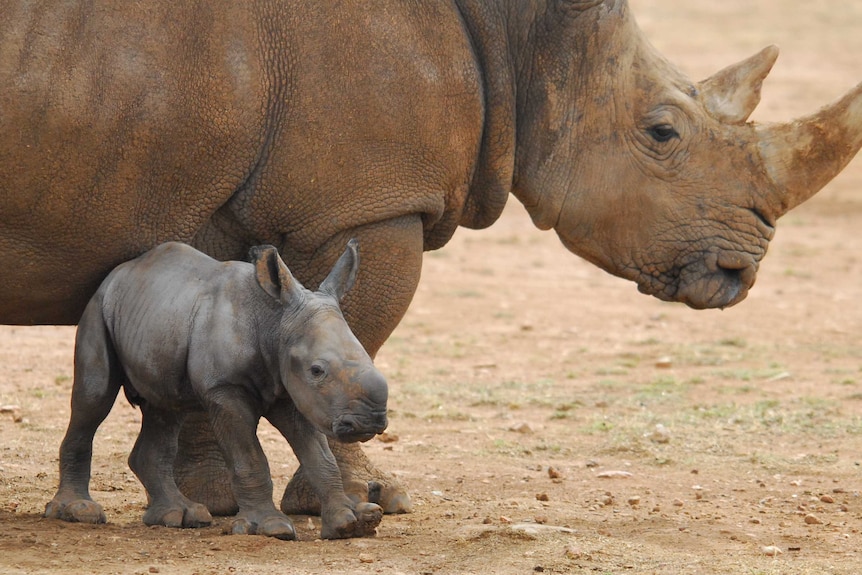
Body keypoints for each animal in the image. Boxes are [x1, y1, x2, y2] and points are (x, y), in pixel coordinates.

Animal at [44, 238, 388, 540]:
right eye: (317, 370)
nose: (370, 421)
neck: (275, 322)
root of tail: (117, 274)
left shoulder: (293, 392)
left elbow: (320, 457)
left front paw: (352, 523)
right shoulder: (226, 389)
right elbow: (249, 458)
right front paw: (270, 528)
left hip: (160, 319)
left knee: (165, 410)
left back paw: (180, 516)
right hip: (98, 309)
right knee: (94, 397)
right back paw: (78, 512)